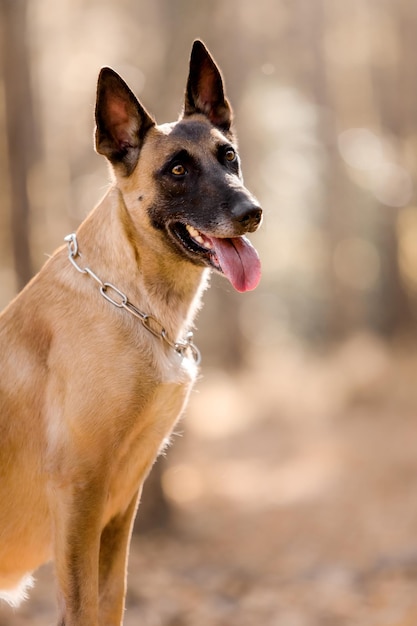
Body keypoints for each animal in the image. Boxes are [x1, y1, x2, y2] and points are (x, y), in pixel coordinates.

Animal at [0, 41, 260, 620]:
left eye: (229, 156)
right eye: (178, 170)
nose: (252, 212)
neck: (131, 301)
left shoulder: (118, 509)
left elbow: (109, 603)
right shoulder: (78, 496)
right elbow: (79, 609)